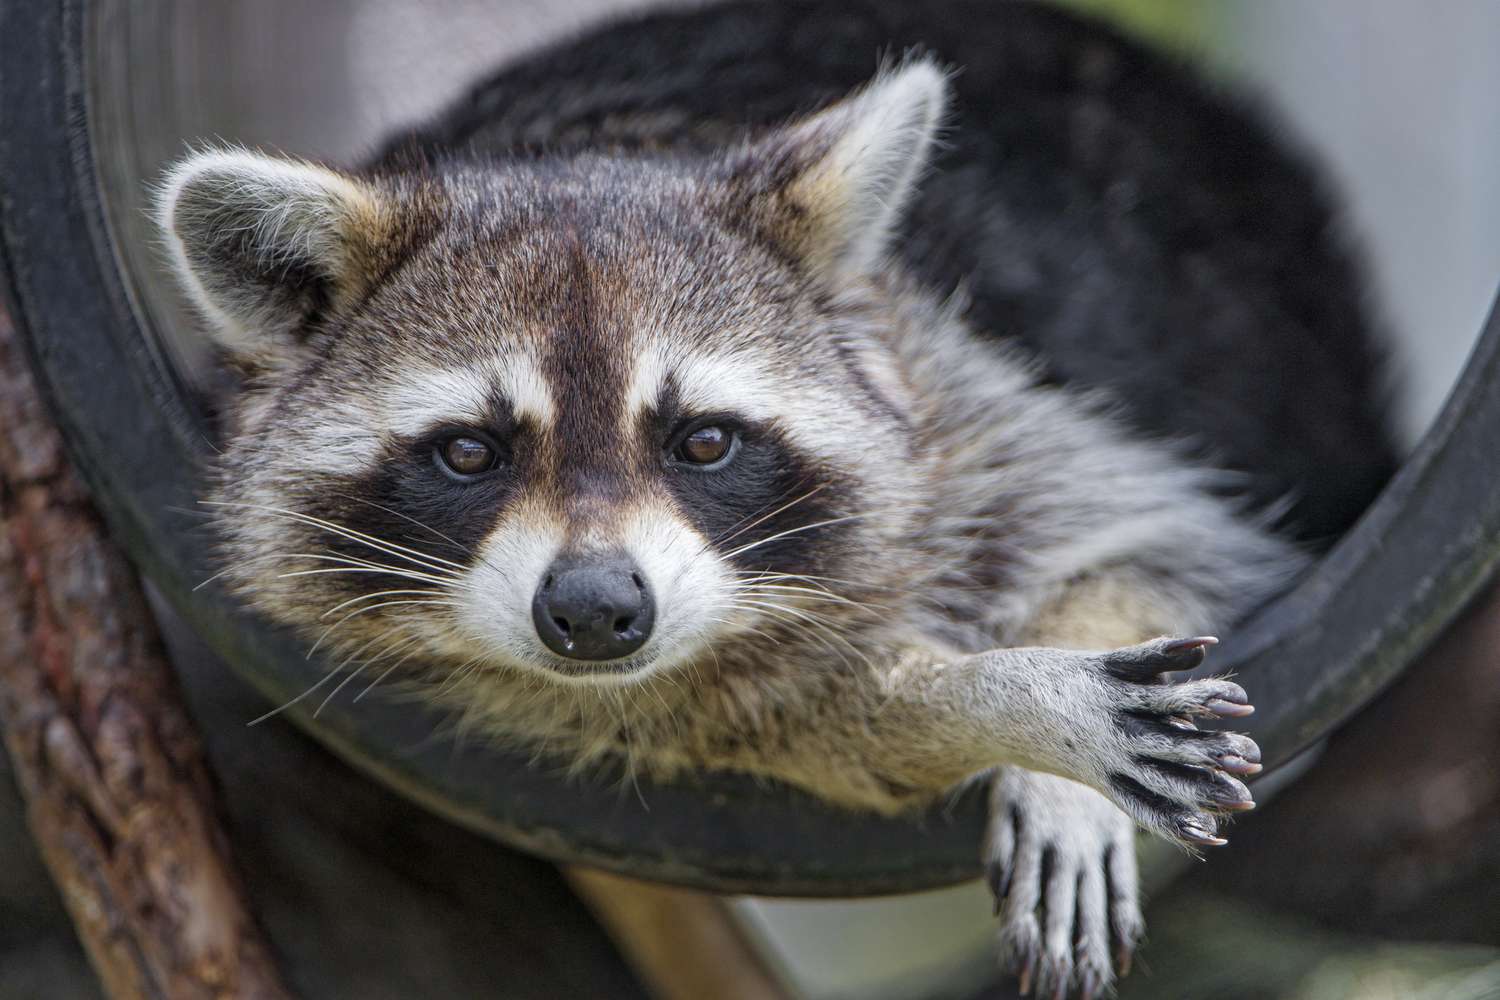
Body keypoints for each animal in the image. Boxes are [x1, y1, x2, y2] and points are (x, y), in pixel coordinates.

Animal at [152, 3, 1392, 995]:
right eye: (469, 453)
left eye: (704, 440)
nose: (597, 612)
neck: (594, 146)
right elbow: (771, 716)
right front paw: (1001, 699)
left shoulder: (956, 402)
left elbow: (1155, 540)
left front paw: (1053, 688)